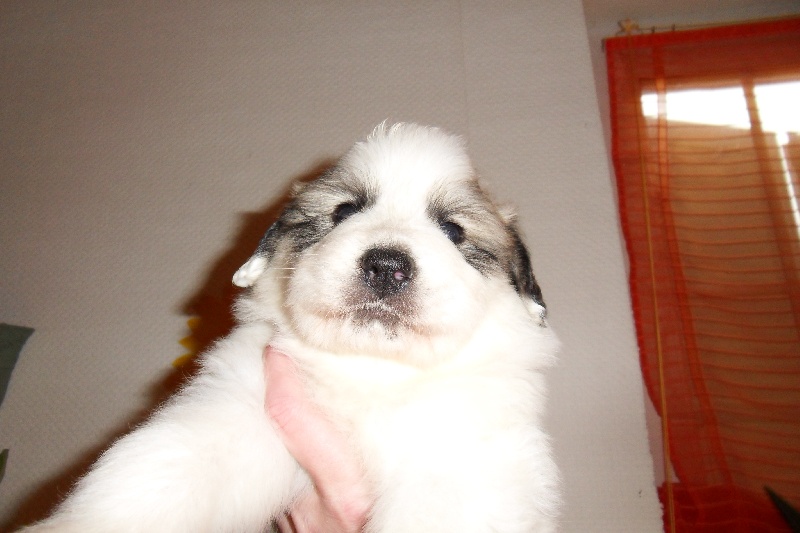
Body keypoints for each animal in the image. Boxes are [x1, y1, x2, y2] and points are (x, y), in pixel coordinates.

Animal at [22, 123, 560, 532]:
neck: (373, 371)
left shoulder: (465, 464)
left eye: (452, 230)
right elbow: (157, 470)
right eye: (343, 211)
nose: (386, 265)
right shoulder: (239, 411)